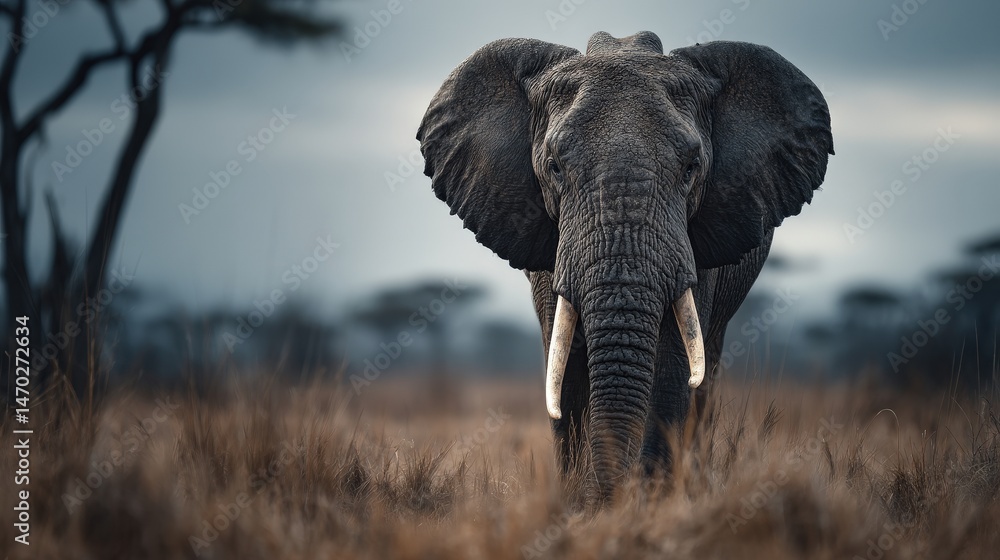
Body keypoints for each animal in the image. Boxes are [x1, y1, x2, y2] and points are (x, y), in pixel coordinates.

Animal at [416, 31, 833, 500]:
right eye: (554, 167)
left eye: (691, 168)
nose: (610, 497)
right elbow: (566, 370)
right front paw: (581, 504)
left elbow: (672, 369)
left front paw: (648, 503)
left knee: (704, 375)